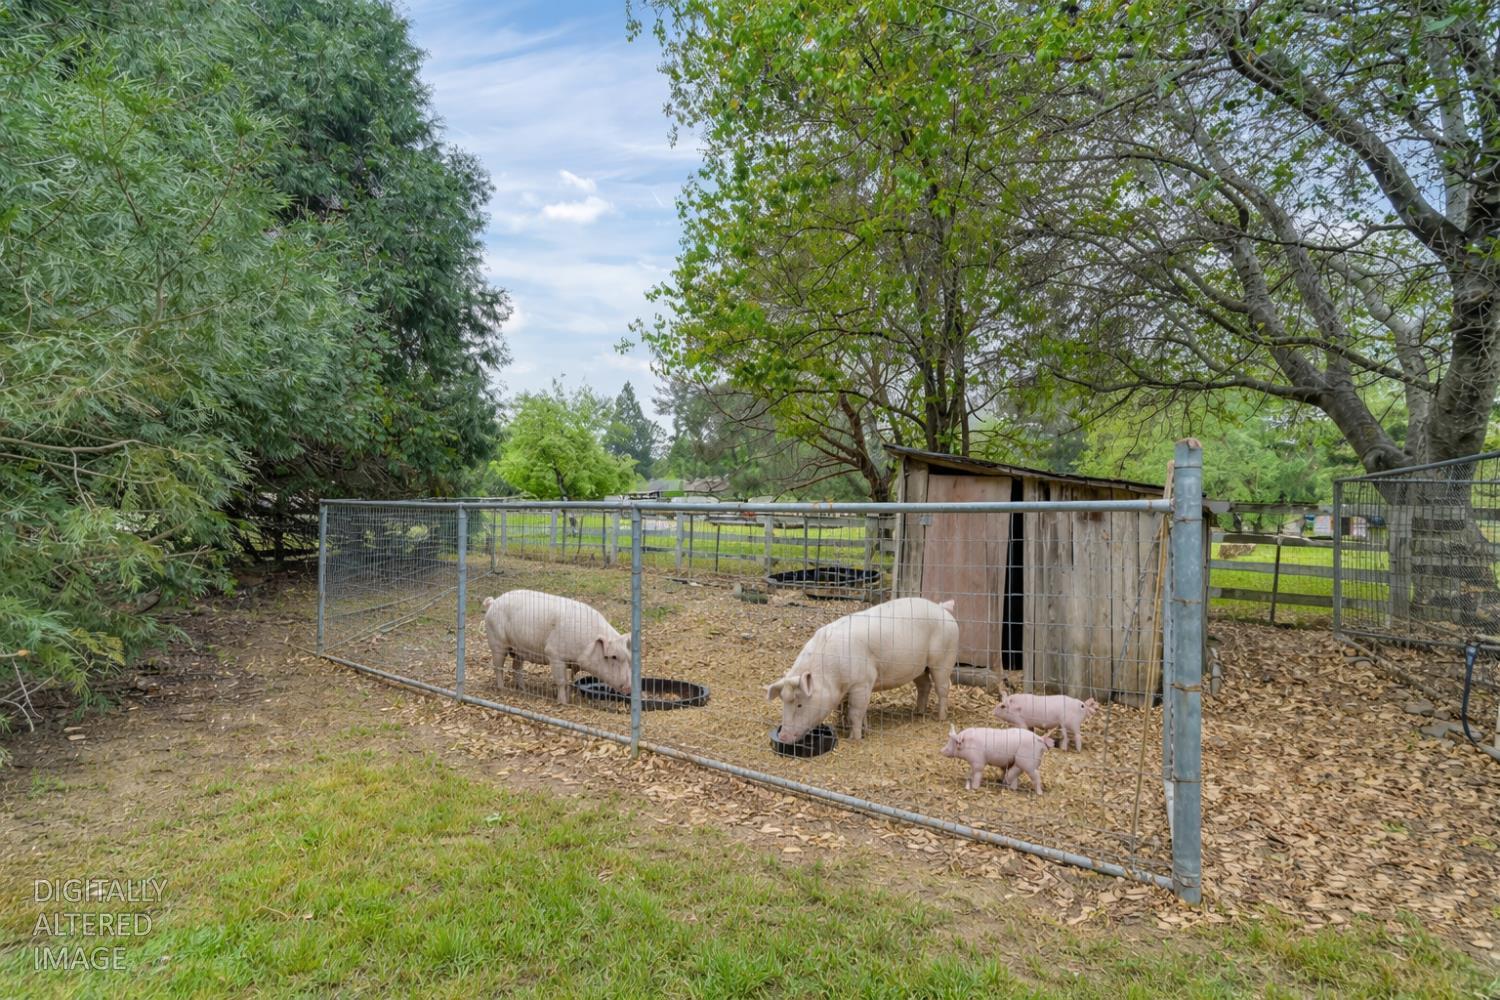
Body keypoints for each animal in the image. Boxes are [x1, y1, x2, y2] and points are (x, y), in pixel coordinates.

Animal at [482, 589, 632, 705]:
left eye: (628, 658)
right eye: (613, 656)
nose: (629, 687)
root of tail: (493, 602)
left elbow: (570, 680)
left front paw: (570, 698)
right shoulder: (554, 654)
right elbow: (561, 681)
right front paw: (563, 702)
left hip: (519, 650)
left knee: (516, 668)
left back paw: (523, 689)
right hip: (497, 642)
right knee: (498, 667)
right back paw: (502, 689)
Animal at [766, 597, 958, 742]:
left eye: (799, 703)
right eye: (783, 702)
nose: (783, 737)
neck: (829, 675)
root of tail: (942, 608)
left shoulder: (862, 682)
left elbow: (855, 711)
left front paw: (855, 738)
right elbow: (845, 708)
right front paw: (847, 726)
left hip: (943, 659)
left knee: (943, 688)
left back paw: (940, 717)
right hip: (919, 667)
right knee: (924, 685)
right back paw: (918, 712)